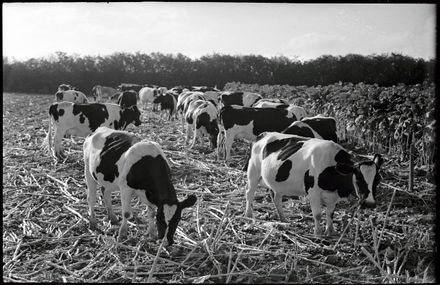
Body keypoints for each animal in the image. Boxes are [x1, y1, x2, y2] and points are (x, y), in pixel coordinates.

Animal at [244, 132, 382, 236]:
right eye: (358, 178)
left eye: (378, 180)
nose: (370, 203)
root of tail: (263, 134)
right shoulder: (313, 192)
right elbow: (318, 214)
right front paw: (318, 233)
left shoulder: (333, 195)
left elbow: (330, 213)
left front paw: (330, 231)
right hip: (253, 171)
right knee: (249, 193)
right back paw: (248, 215)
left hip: (277, 184)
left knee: (276, 198)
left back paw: (283, 218)